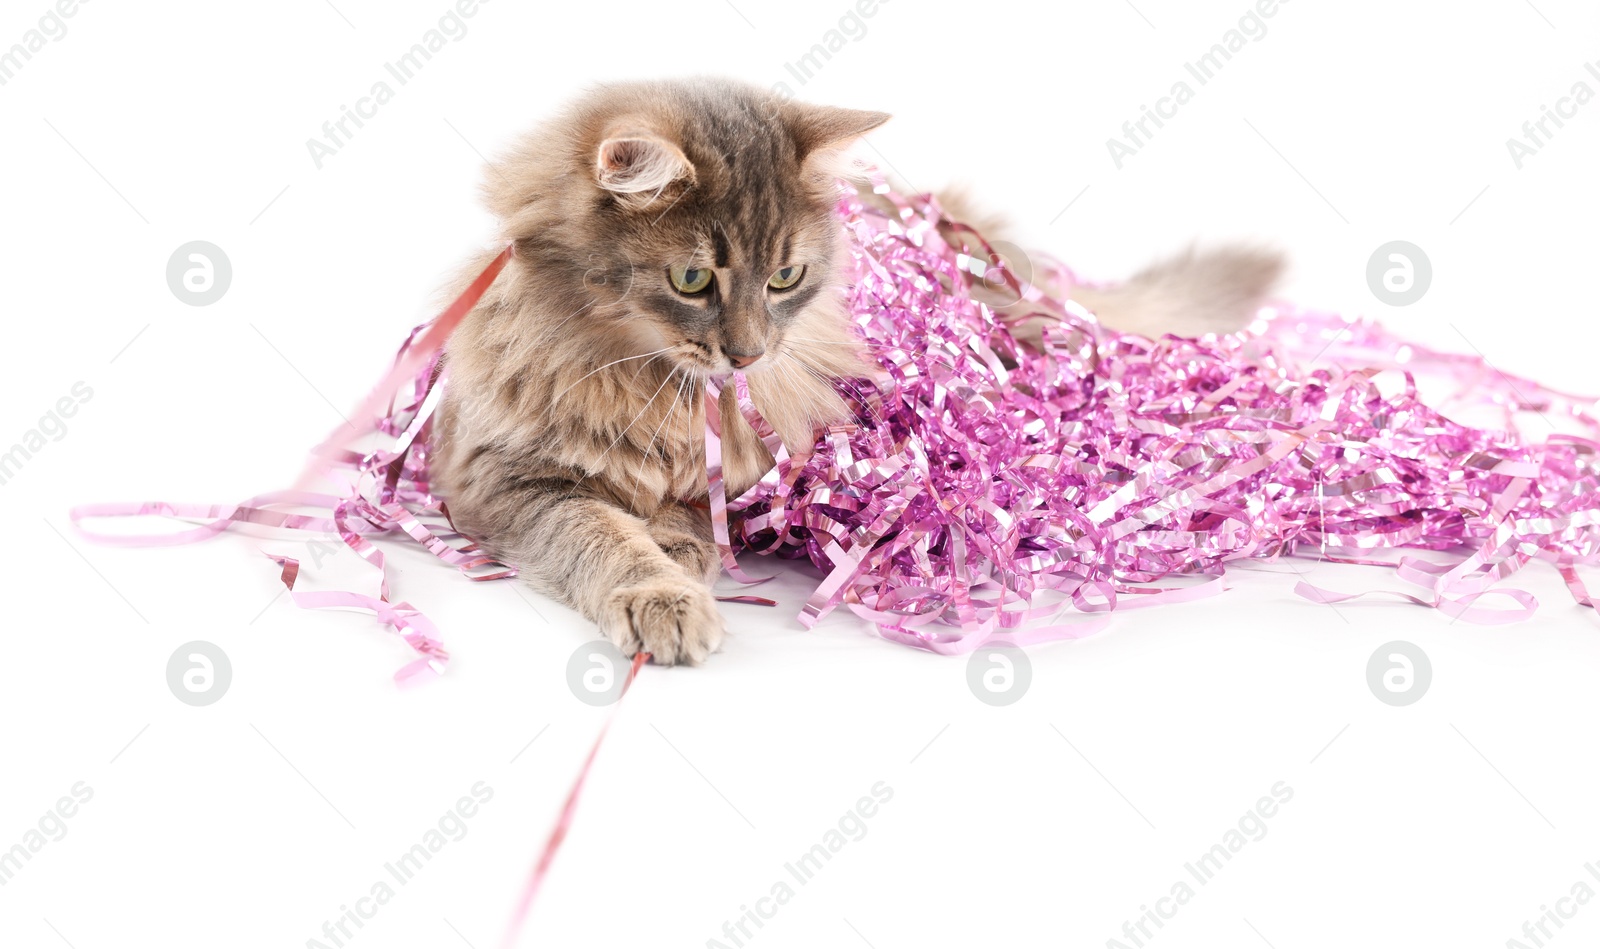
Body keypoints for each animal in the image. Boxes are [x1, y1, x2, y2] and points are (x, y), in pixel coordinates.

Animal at [432, 76, 1280, 665]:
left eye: (785, 277)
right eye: (693, 280)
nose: (749, 354)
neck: (641, 376)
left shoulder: (734, 472)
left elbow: (676, 516)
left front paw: (680, 555)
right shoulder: (508, 477)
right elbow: (603, 533)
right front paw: (664, 591)